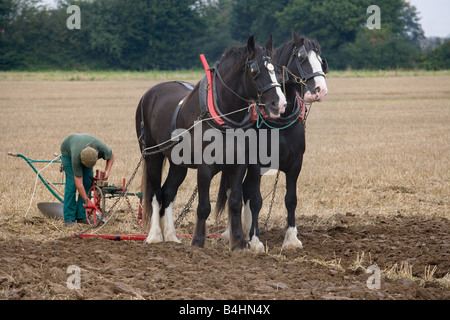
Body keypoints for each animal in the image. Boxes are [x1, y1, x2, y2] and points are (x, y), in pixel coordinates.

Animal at [135, 36, 286, 251]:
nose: (279, 104)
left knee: (168, 193)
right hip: (152, 156)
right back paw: (155, 235)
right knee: (155, 194)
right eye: (254, 70)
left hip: (178, 164)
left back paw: (171, 236)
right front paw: (198, 241)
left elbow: (235, 202)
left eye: (277, 69)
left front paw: (238, 242)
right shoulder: (205, 168)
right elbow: (203, 206)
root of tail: (149, 94)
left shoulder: (237, 165)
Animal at [217, 32, 326, 251]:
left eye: (320, 59)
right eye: (301, 57)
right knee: (235, 190)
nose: (320, 89)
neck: (280, 123)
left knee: (244, 192)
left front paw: (291, 239)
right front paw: (255, 241)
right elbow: (256, 200)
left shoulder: (295, 163)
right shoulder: (256, 164)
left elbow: (290, 199)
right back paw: (231, 233)